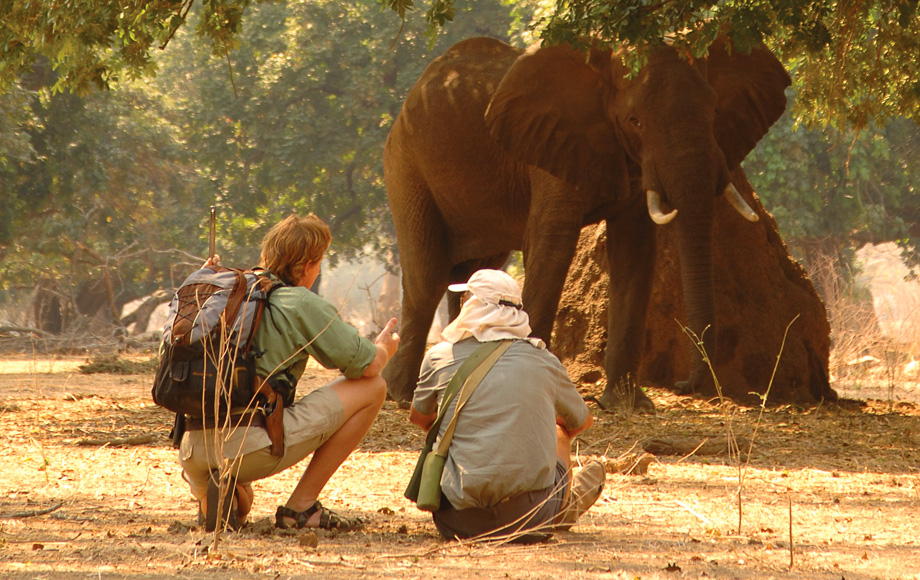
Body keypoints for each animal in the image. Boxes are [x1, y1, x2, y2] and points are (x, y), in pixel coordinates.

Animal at [380, 34, 792, 410]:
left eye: (714, 112)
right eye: (635, 121)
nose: (682, 384)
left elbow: (634, 251)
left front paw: (626, 405)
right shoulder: (550, 145)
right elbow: (552, 246)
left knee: (473, 274)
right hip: (406, 164)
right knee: (427, 278)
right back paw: (400, 395)